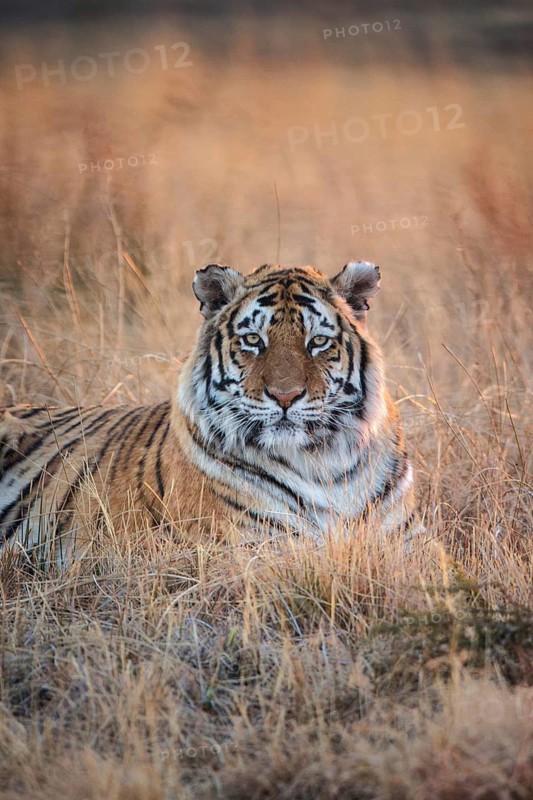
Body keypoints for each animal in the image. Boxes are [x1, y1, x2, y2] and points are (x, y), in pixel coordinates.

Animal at [0, 261, 415, 565]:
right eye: (253, 340)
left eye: (318, 342)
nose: (285, 396)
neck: (326, 465)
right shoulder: (252, 549)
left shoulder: (404, 542)